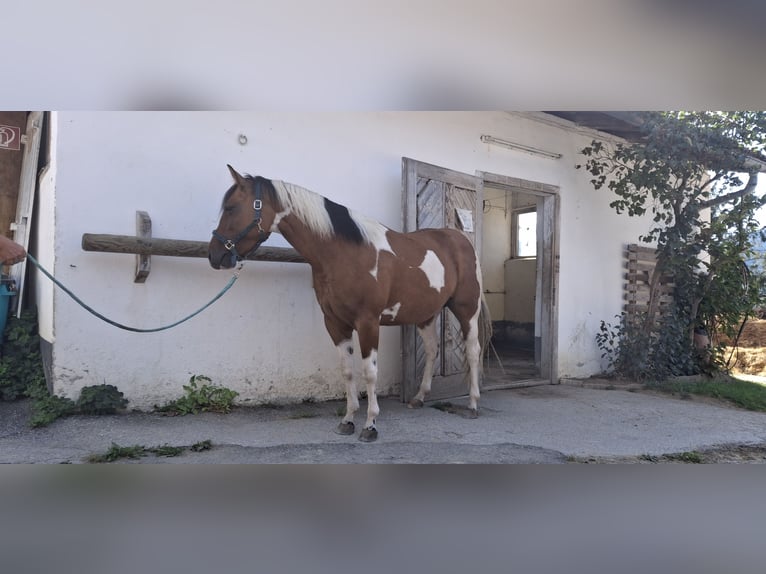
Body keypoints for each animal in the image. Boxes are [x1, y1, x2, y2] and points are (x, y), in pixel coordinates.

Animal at [208, 165, 490, 442]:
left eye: (231, 207)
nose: (215, 256)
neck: (344, 253)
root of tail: (460, 240)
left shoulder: (368, 322)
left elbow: (369, 372)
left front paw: (370, 425)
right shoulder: (334, 322)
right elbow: (347, 370)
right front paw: (348, 420)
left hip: (466, 309)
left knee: (472, 351)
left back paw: (473, 404)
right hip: (425, 314)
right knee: (432, 350)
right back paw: (420, 397)